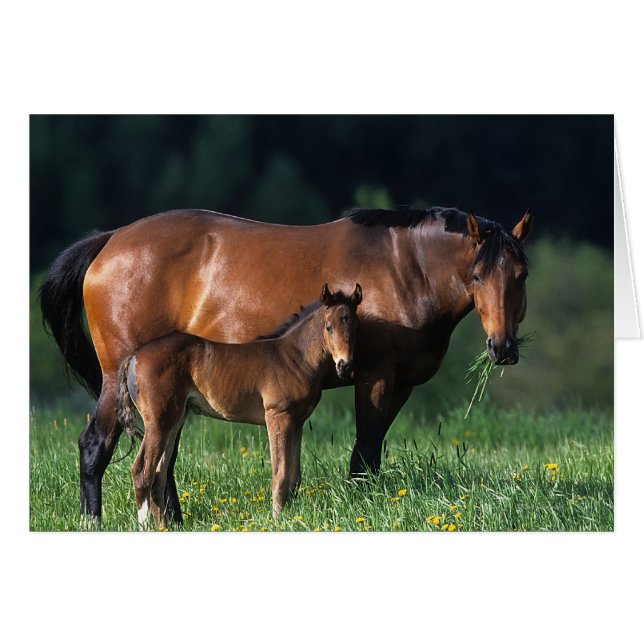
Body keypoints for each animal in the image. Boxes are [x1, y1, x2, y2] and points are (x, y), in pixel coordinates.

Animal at [116, 283, 362, 527]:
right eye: (329, 327)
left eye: (355, 326)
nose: (345, 365)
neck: (295, 357)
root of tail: (134, 357)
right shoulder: (278, 417)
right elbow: (280, 475)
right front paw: (277, 521)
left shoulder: (297, 422)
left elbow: (294, 476)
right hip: (158, 421)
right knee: (142, 472)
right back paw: (144, 526)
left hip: (174, 420)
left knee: (158, 474)